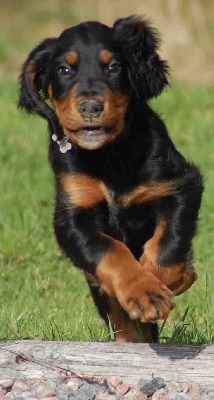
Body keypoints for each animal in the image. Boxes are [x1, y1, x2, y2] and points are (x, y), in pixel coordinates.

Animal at [18, 14, 202, 340]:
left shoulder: (182, 186)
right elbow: (110, 250)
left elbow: (168, 246)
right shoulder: (72, 217)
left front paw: (160, 283)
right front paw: (143, 292)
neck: (108, 155)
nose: (90, 106)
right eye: (64, 70)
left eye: (114, 67)